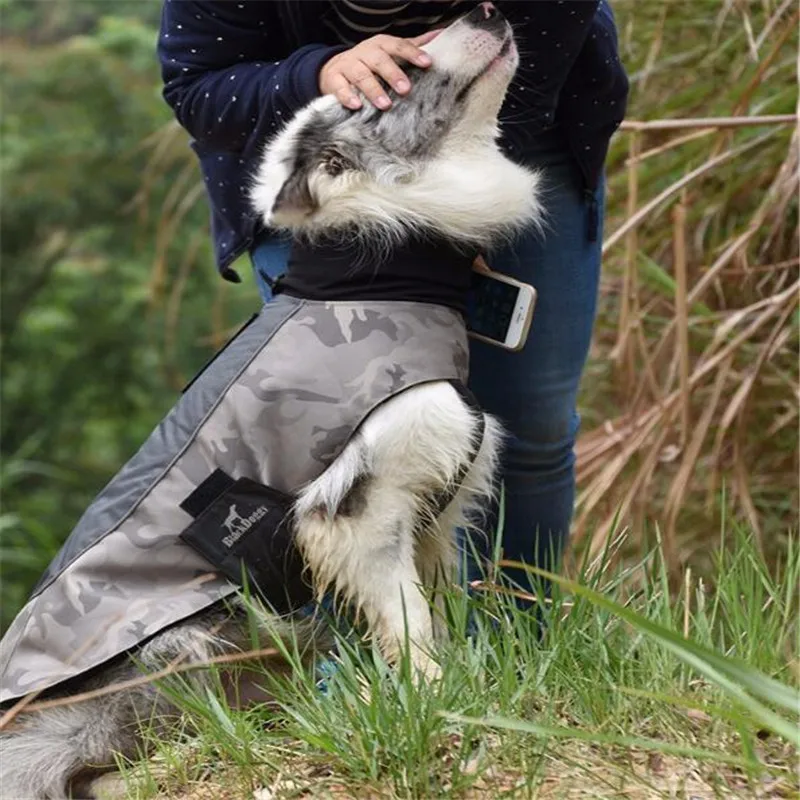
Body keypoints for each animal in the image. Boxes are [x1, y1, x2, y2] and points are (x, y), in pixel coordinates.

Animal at [0, 7, 540, 800]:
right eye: (404, 70)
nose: (489, 11)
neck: (380, 270)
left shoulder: (432, 503)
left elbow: (439, 608)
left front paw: (475, 690)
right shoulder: (355, 511)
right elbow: (409, 625)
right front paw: (441, 704)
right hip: (188, 639)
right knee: (113, 771)